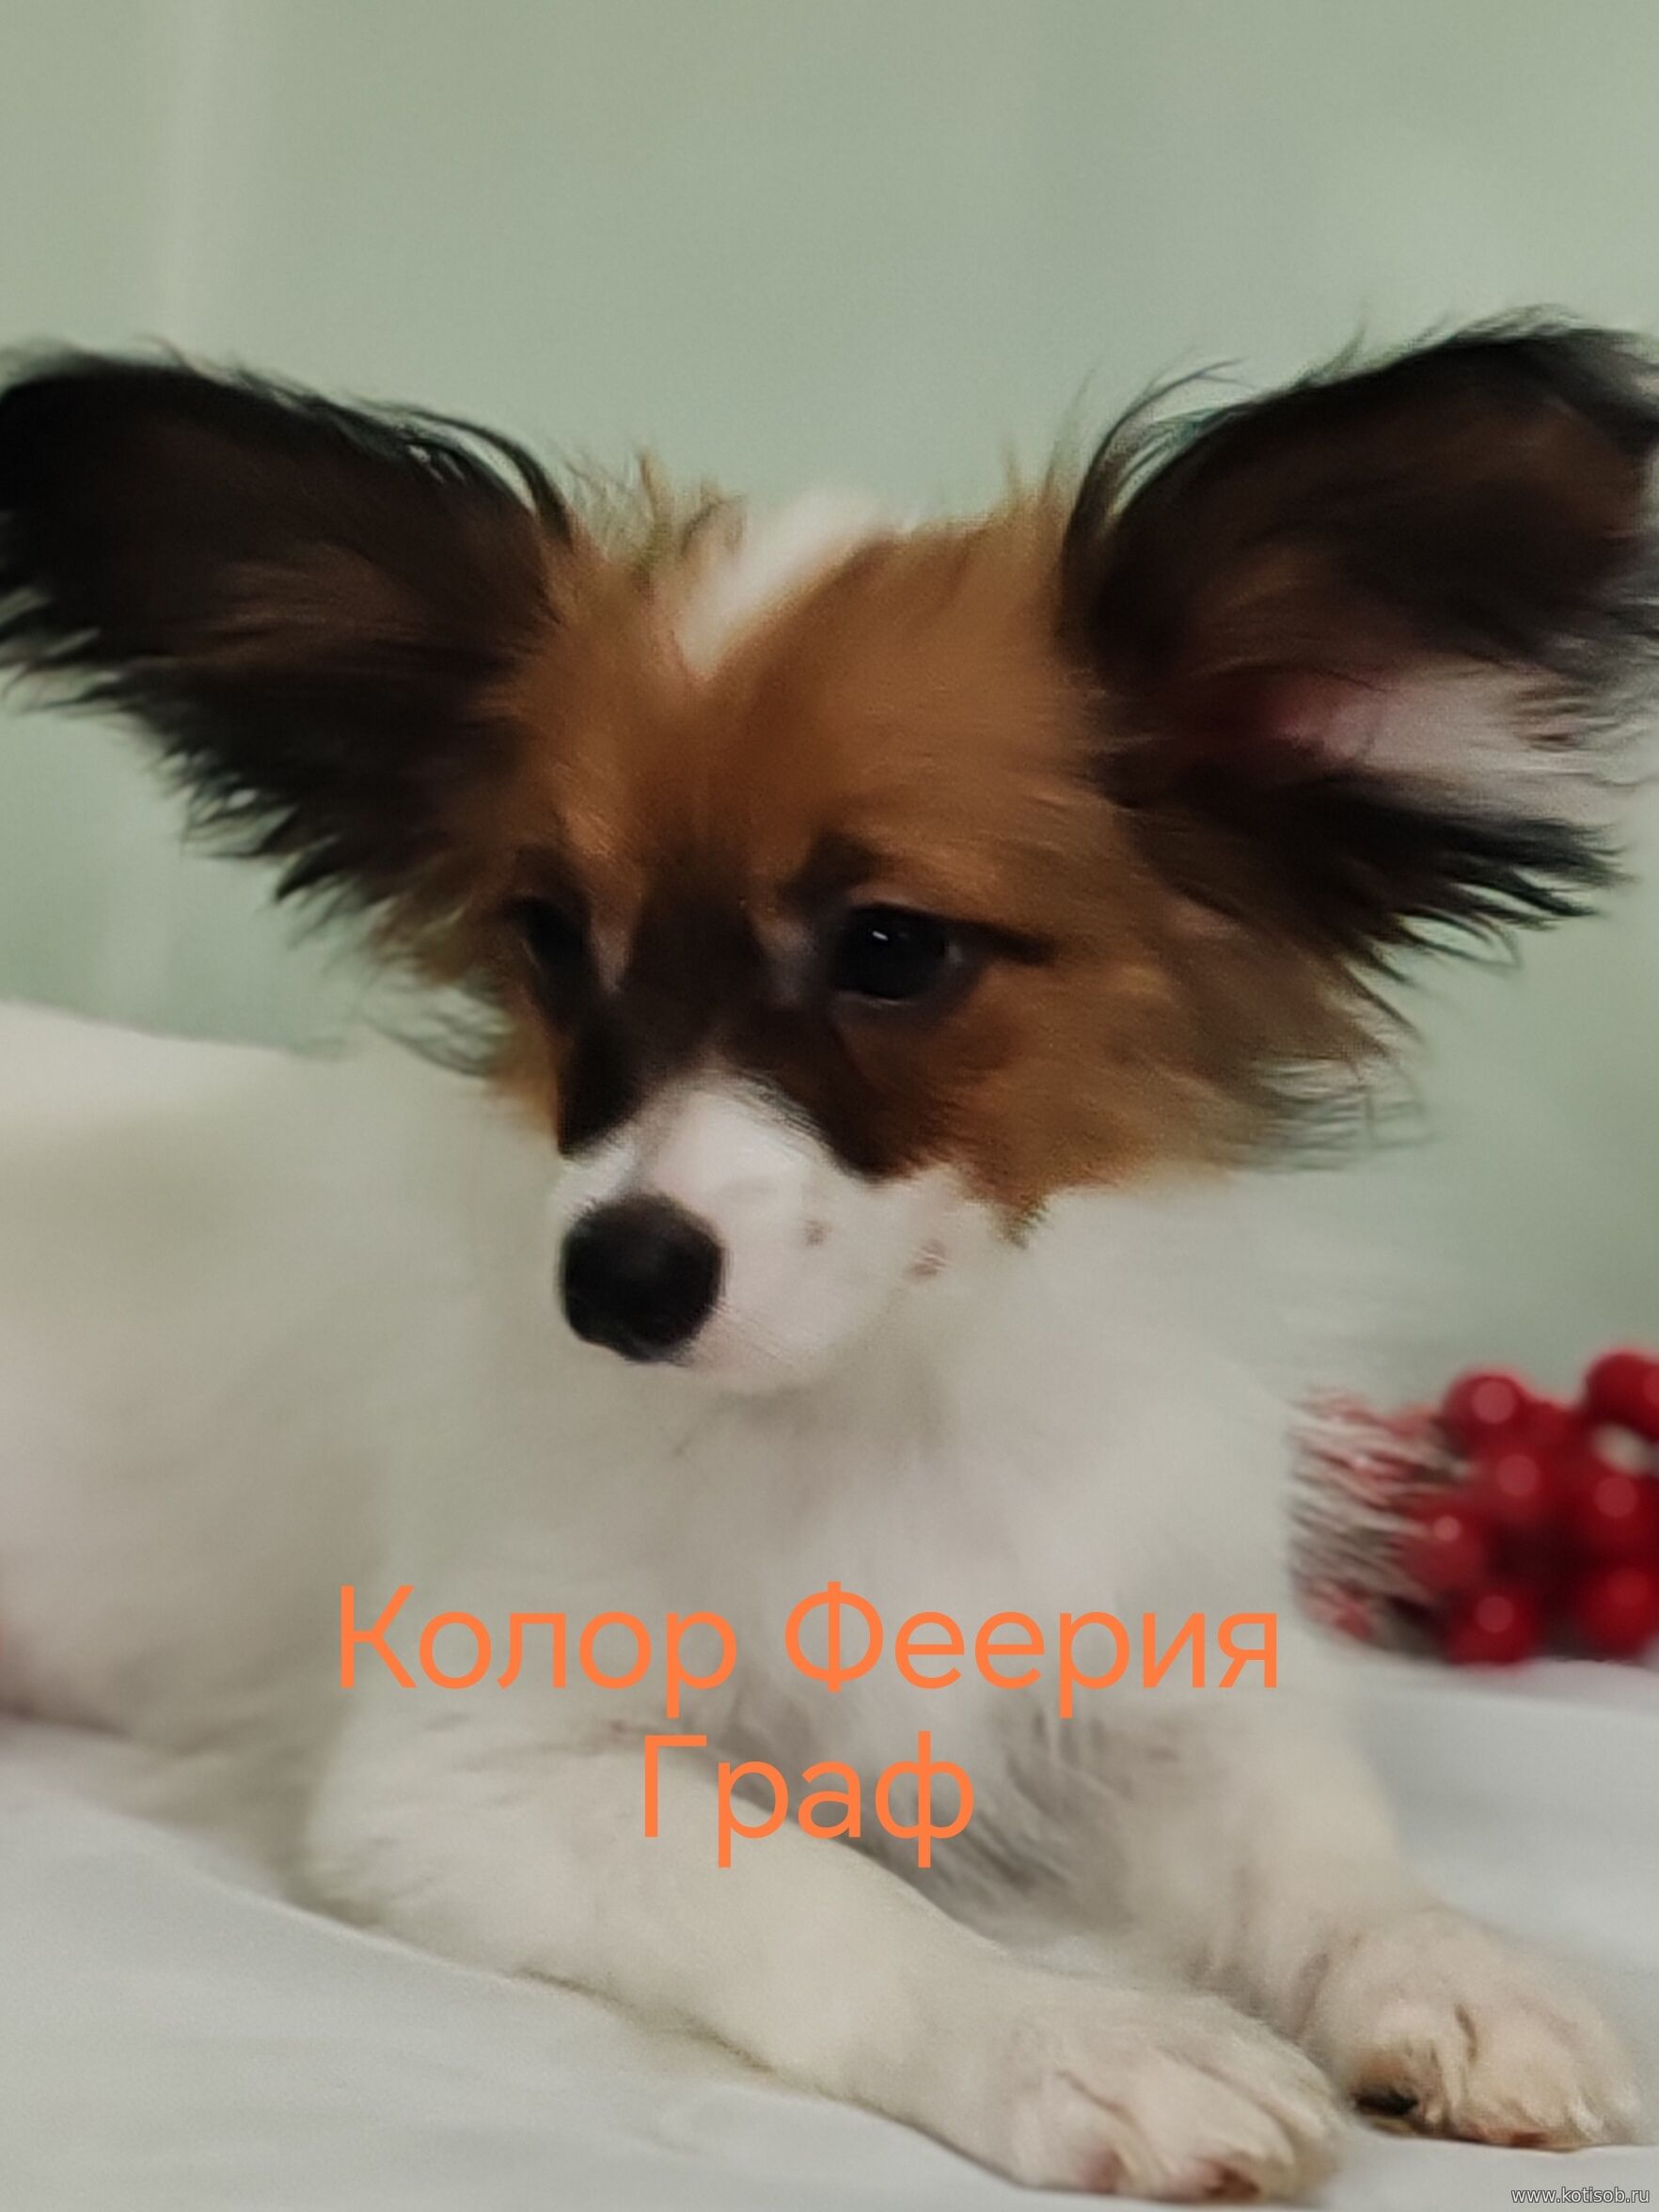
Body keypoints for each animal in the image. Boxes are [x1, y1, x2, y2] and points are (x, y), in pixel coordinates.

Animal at [0, 325, 1652, 2200]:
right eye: (547, 938)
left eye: (889, 948)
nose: (615, 1280)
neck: (874, 1398)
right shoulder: (467, 1776)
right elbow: (809, 1887)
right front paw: (1074, 2034)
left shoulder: (1167, 1682)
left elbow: (1315, 1844)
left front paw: (1447, 1965)